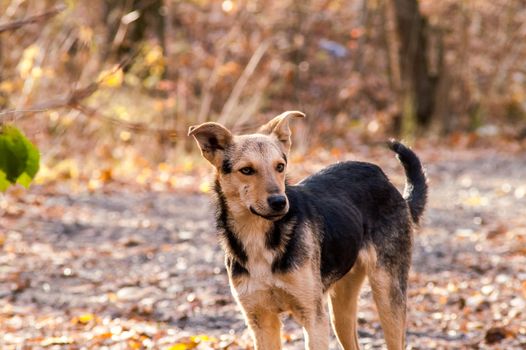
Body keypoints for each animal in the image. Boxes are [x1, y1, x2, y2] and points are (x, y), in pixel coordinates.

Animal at [190, 111, 428, 350]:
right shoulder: (261, 321)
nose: (279, 202)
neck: (259, 236)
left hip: (388, 296)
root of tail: (384, 179)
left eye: (280, 166)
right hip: (341, 310)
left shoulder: (313, 318)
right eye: (246, 170)